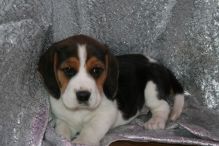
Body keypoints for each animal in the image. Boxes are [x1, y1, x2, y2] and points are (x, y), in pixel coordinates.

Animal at [38, 34, 184, 145]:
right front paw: (60, 139)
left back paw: (156, 121)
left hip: (151, 87)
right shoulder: (62, 119)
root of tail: (160, 65)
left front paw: (82, 141)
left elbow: (90, 129)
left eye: (96, 70)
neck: (80, 111)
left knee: (163, 106)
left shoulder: (105, 114)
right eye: (68, 70)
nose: (83, 95)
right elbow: (61, 129)